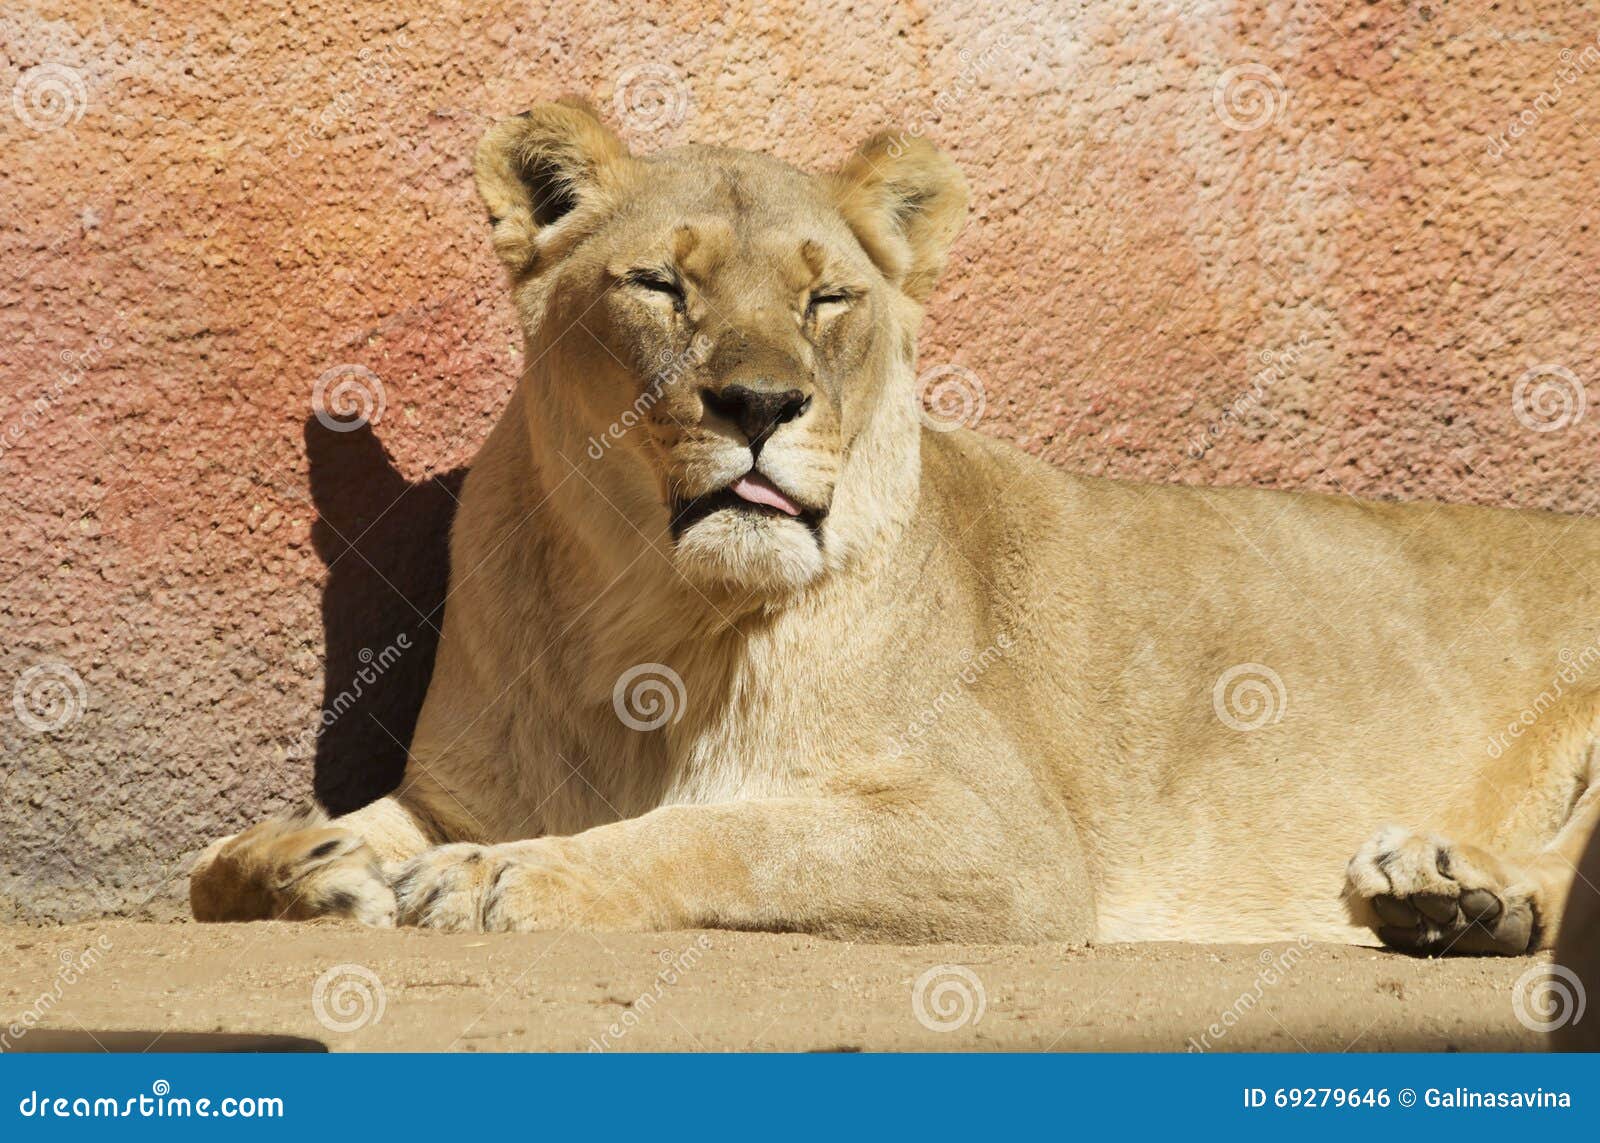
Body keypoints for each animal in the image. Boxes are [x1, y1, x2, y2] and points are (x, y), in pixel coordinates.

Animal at [191, 101, 1600, 954]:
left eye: (827, 299)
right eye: (659, 285)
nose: (760, 404)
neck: (652, 619)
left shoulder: (999, 840)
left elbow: (732, 834)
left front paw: (507, 879)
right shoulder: (455, 788)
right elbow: (242, 858)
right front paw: (301, 860)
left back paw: (1454, 890)